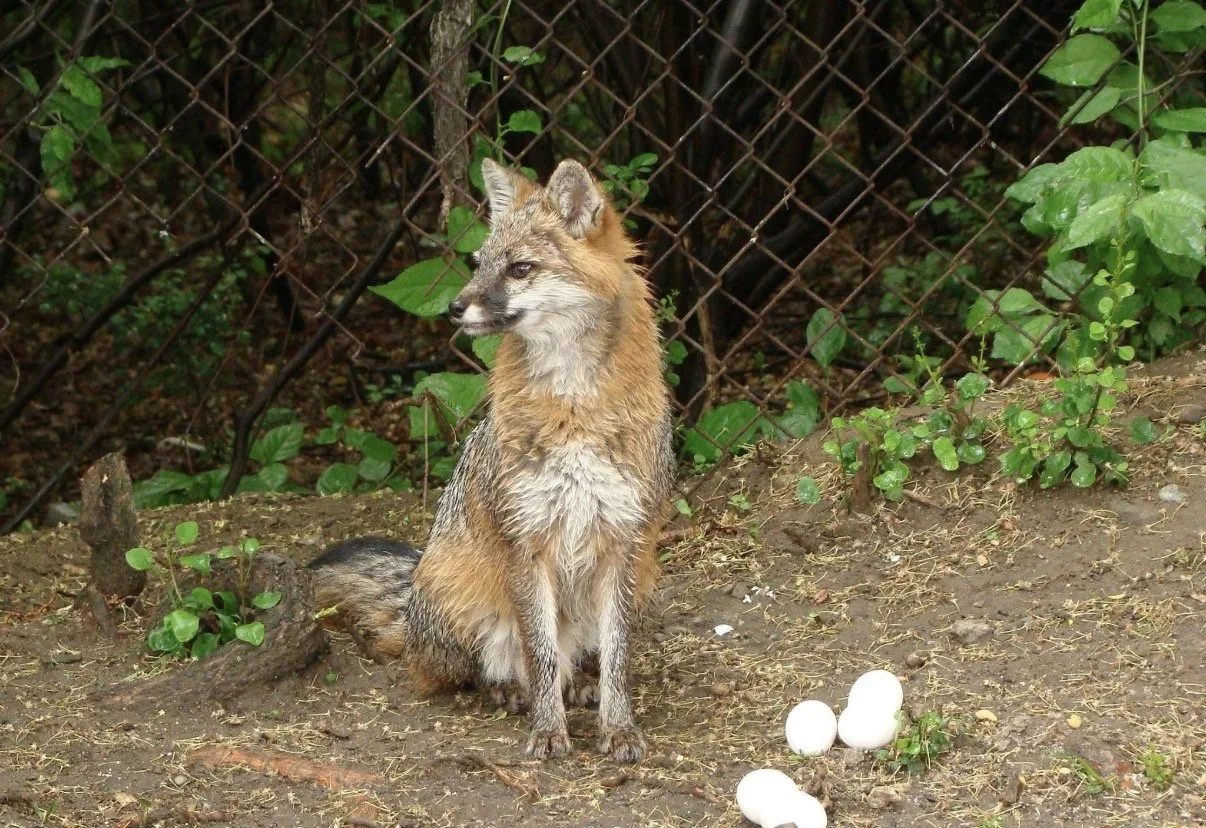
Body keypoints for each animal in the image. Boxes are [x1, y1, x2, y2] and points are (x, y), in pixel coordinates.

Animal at [308, 157, 675, 763]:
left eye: (521, 268)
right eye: (479, 264)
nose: (455, 307)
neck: (573, 410)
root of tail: (415, 586)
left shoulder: (624, 541)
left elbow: (617, 659)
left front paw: (617, 726)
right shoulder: (527, 541)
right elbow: (540, 655)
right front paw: (548, 732)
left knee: (577, 657)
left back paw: (580, 686)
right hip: (467, 601)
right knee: (478, 668)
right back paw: (508, 690)